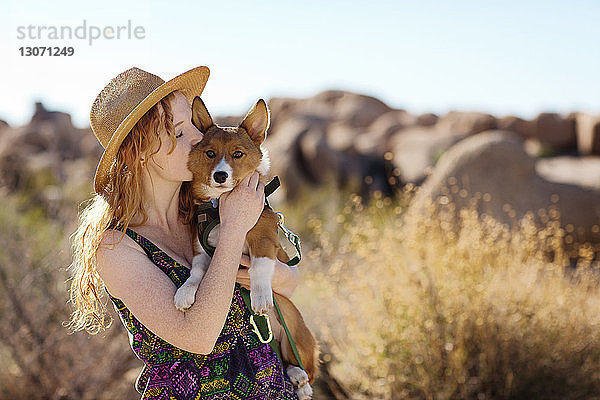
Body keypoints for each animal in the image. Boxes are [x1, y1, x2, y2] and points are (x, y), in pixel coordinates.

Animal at [173, 95, 318, 398]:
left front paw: (260, 296)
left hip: (296, 329)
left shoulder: (263, 236)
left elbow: (260, 266)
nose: (220, 176)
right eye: (210, 153)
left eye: (237, 154)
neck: (219, 207)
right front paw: (185, 293)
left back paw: (301, 381)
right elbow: (196, 273)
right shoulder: (202, 250)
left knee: (307, 368)